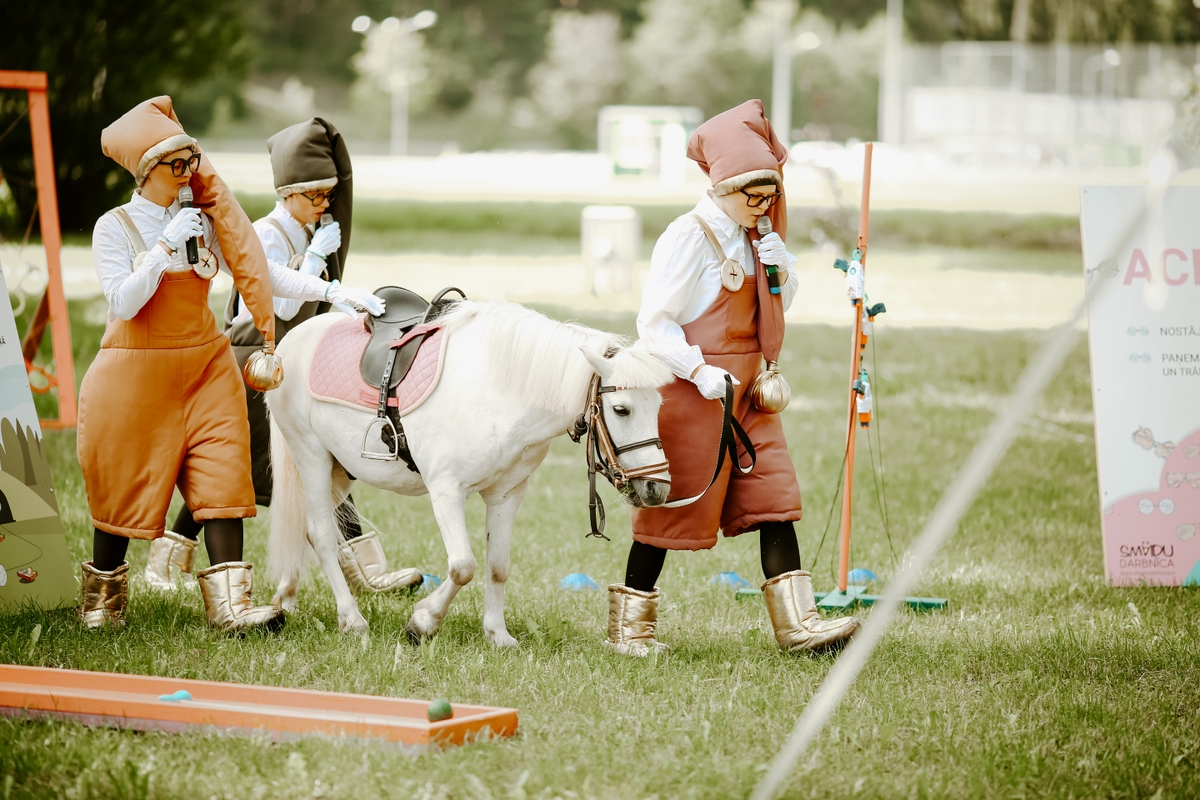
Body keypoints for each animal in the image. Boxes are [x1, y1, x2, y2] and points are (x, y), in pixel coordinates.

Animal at [265, 299, 676, 642]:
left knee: (302, 527)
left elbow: (497, 567)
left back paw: (285, 599)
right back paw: (351, 619)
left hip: (338, 469)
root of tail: (290, 341)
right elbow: (464, 566)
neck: (502, 393)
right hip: (311, 456)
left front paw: (496, 634)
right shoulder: (447, 491)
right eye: (621, 409)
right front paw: (423, 621)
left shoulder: (507, 495)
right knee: (321, 534)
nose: (656, 487)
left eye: (659, 406)